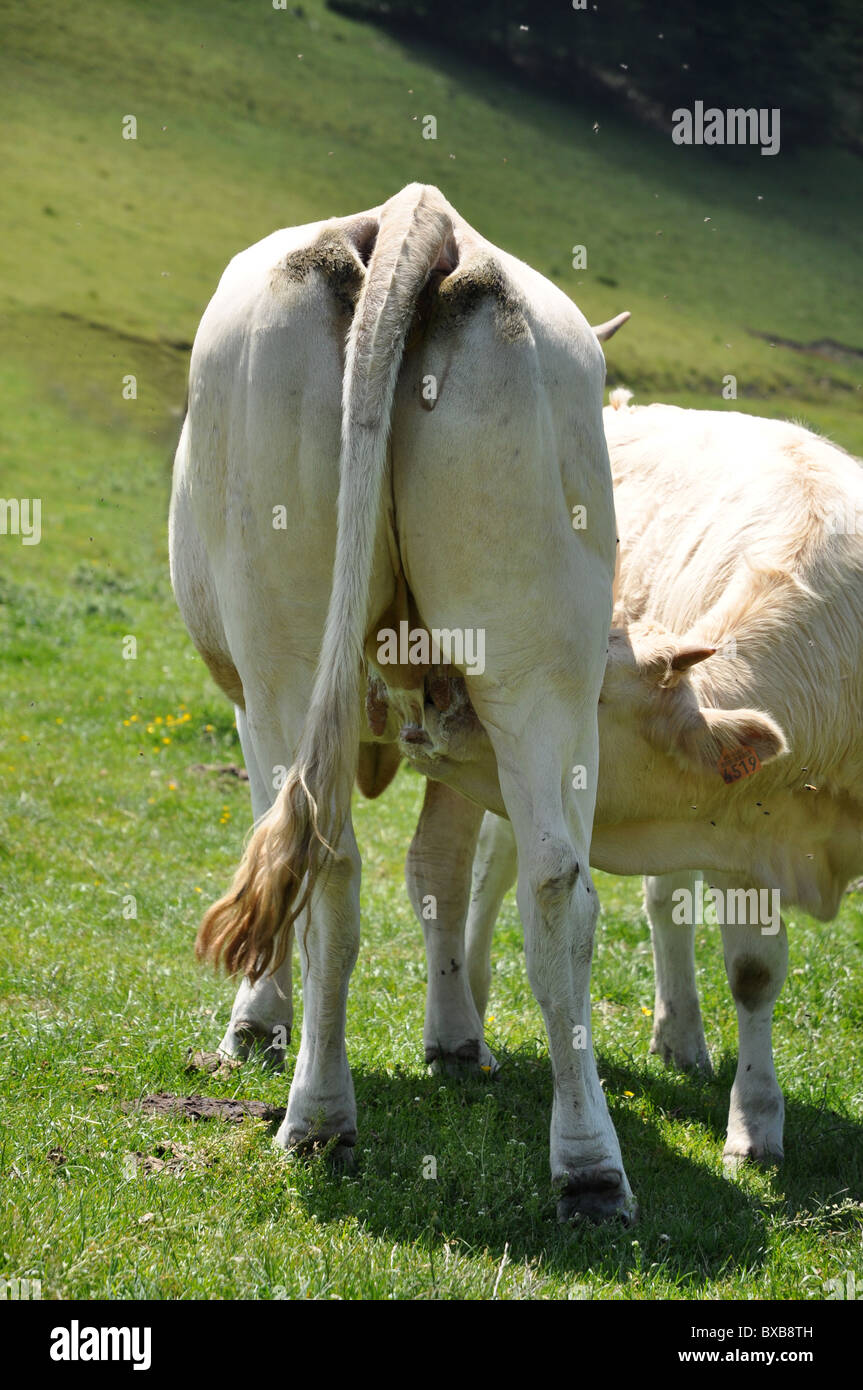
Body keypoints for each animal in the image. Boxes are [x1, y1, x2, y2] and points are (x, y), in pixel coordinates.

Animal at [170, 182, 639, 1217]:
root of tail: (417, 215)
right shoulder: (458, 723)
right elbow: (439, 873)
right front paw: (456, 1037)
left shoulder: (253, 706)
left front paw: (257, 1019)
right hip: (536, 668)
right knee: (553, 885)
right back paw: (588, 1166)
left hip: (283, 662)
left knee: (322, 863)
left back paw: (316, 1117)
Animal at [461, 391, 861, 1173]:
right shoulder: (745, 832)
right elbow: (753, 972)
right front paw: (755, 1124)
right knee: (495, 864)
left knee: (665, 903)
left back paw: (679, 1035)